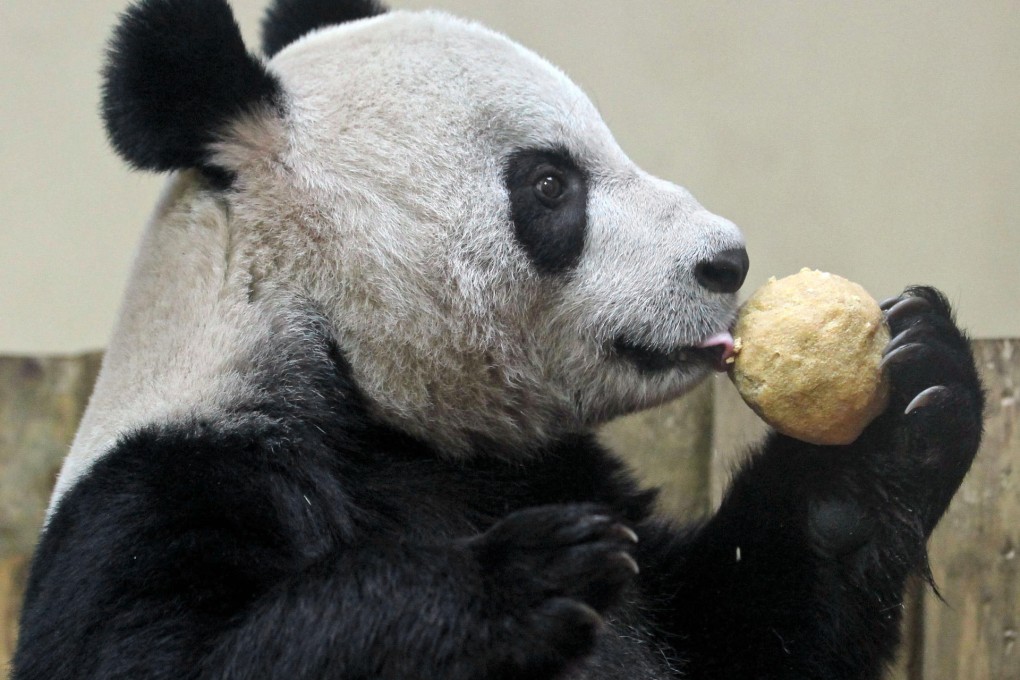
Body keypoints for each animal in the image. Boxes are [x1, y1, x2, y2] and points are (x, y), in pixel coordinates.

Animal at [14, 0, 984, 678]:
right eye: (550, 183)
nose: (726, 261)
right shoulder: (164, 489)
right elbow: (158, 656)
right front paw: (519, 580)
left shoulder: (550, 467)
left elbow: (745, 632)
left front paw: (908, 397)